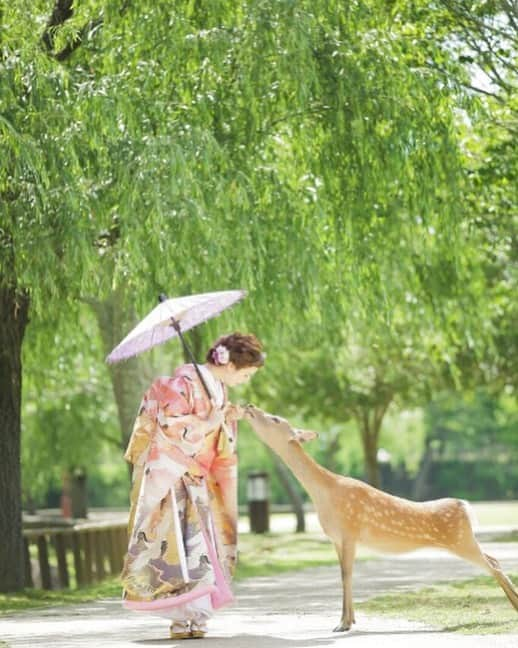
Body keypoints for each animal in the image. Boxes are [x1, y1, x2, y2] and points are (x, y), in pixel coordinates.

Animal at [244, 404, 518, 632]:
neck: (325, 494)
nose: (250, 406)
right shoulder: (336, 538)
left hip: (460, 540)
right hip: (464, 539)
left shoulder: (350, 530)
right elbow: (343, 575)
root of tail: (465, 506)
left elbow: (346, 575)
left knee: (493, 564)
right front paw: (348, 620)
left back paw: (514, 606)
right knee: (494, 559)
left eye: (275, 418)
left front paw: (344, 624)